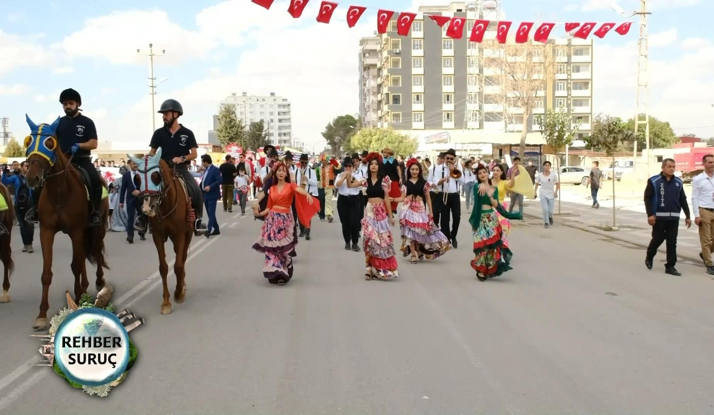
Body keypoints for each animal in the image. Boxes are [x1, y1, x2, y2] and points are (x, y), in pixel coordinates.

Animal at [23, 115, 108, 330]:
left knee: (95, 251)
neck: (60, 192)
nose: (31, 178)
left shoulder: (76, 231)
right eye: (29, 141)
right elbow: (47, 274)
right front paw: (42, 314)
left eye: (49, 143)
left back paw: (98, 281)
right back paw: (85, 287)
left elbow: (76, 265)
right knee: (84, 255)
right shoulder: (46, 231)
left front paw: (77, 301)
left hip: (98, 228)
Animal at [126, 150, 191, 316]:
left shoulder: (180, 235)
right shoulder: (158, 236)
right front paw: (166, 302)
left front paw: (178, 293)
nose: (147, 208)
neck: (166, 204)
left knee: (183, 259)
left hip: (187, 235)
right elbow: (163, 268)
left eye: (156, 176)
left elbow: (178, 266)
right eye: (137, 178)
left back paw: (182, 286)